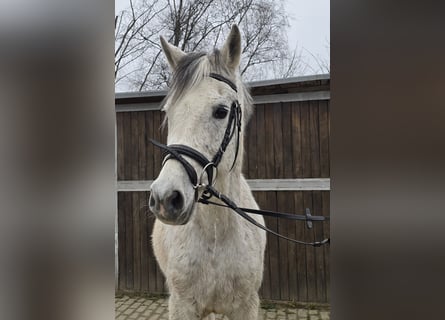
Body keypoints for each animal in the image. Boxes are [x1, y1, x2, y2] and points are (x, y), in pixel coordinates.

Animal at [149, 25, 266, 320]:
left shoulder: (246, 306)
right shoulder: (181, 306)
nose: (166, 199)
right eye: (169, 112)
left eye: (221, 111)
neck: (216, 233)